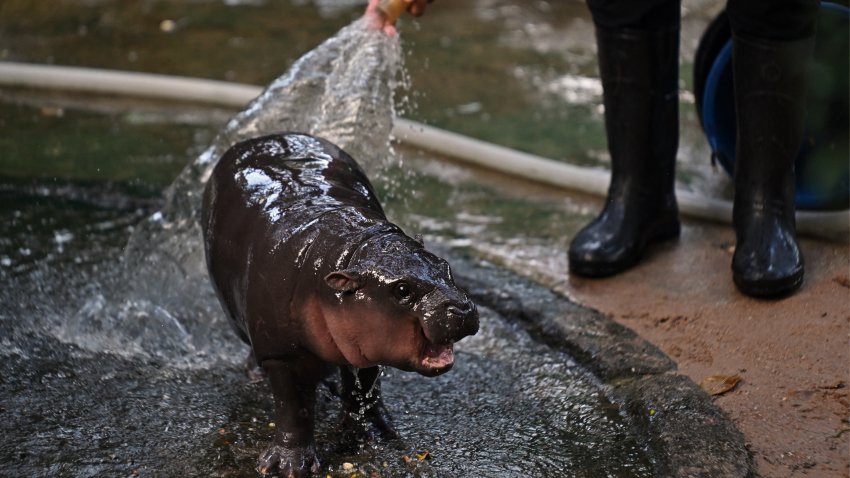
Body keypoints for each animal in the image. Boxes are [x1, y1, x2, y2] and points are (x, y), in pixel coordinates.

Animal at [200, 133, 476, 476]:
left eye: (445, 266)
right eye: (402, 289)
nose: (462, 308)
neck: (349, 251)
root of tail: (265, 137)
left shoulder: (367, 341)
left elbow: (365, 387)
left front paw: (374, 434)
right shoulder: (282, 353)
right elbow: (294, 407)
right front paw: (289, 466)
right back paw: (257, 374)